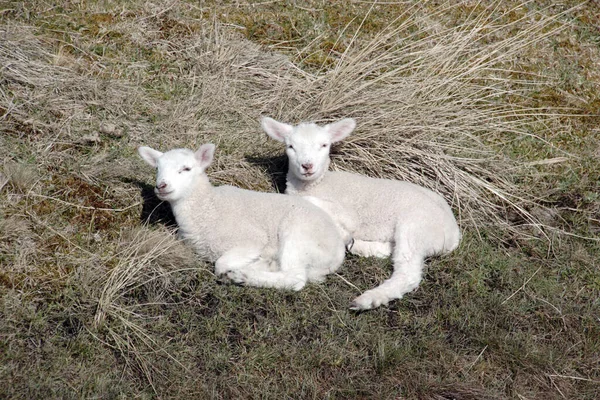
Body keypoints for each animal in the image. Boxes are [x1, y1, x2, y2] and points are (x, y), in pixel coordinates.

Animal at [137, 143, 346, 290]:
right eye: (157, 169)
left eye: (186, 169)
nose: (161, 186)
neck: (207, 208)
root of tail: (338, 252)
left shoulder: (250, 239)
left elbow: (220, 264)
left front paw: (244, 268)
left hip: (300, 236)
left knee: (295, 278)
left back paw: (244, 276)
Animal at [260, 115, 462, 310]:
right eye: (291, 146)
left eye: (324, 145)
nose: (307, 166)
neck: (317, 184)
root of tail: (453, 234)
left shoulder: (348, 214)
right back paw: (359, 246)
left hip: (417, 226)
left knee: (408, 272)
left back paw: (368, 300)